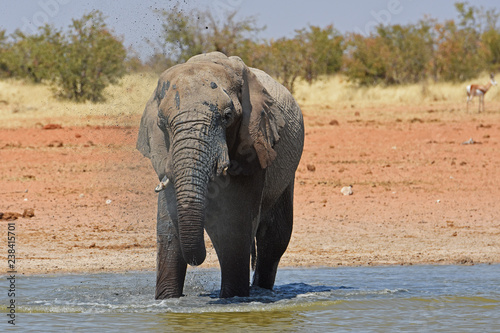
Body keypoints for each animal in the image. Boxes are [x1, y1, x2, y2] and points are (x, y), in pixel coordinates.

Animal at [137, 52, 304, 298]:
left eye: (227, 116)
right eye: (161, 122)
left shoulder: (253, 146)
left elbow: (234, 226)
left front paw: (233, 298)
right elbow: (168, 229)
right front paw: (167, 299)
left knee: (273, 238)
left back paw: (261, 290)